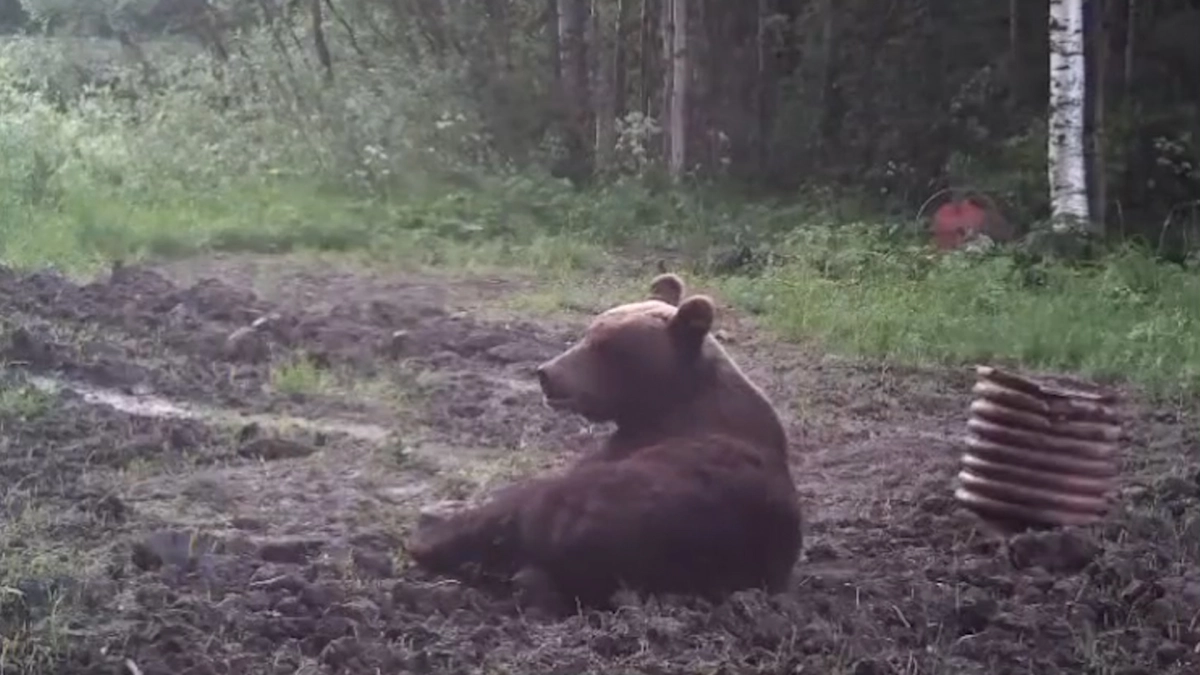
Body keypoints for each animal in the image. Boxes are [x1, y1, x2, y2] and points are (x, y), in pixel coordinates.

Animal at [404, 273, 803, 612]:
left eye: (606, 346)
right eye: (589, 331)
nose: (547, 374)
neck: (666, 403)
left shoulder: (637, 447)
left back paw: (431, 533)